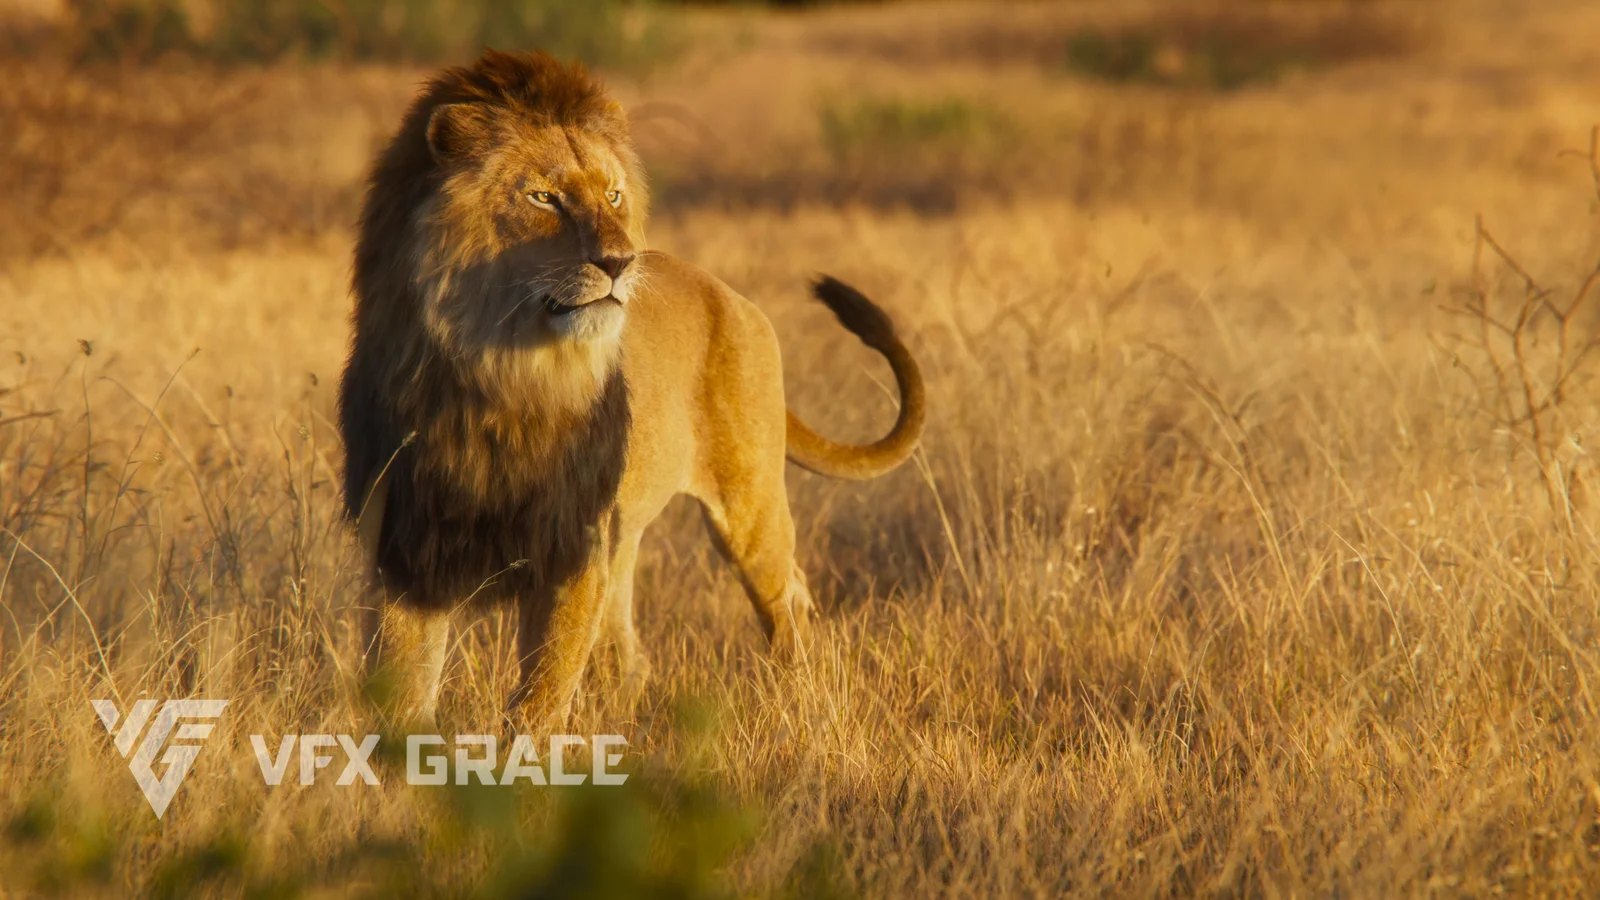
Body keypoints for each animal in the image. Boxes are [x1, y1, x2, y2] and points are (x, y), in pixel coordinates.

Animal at [339, 49, 924, 730]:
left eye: (613, 194)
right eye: (545, 197)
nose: (620, 263)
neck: (499, 380)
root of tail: (732, 296)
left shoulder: (572, 549)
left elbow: (540, 699)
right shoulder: (408, 554)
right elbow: (403, 695)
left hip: (748, 508)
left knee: (789, 601)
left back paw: (799, 704)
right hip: (626, 541)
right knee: (633, 656)